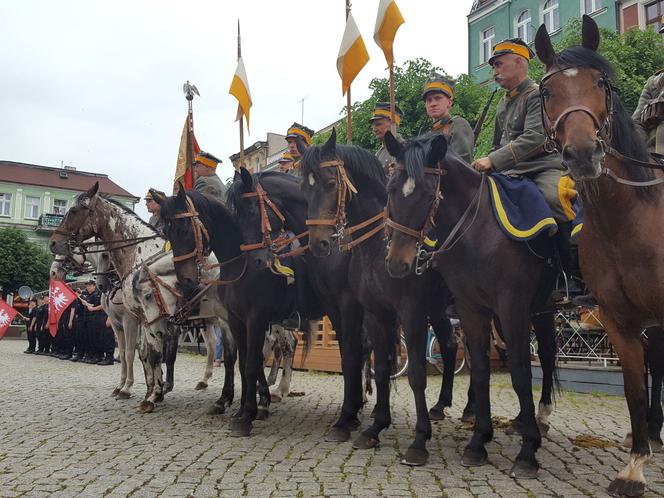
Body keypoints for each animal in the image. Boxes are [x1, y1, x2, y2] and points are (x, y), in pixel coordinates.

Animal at [300, 130, 466, 464]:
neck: (377, 247)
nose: (319, 244)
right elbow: (380, 369)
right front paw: (375, 426)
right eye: (304, 188)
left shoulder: (408, 313)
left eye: (330, 183)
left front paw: (418, 440)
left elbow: (413, 373)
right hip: (439, 310)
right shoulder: (376, 315)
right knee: (450, 344)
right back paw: (441, 405)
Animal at [536, 13, 664, 496]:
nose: (583, 154)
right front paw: (634, 466)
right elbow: (632, 388)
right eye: (547, 92)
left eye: (601, 83)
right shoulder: (618, 320)